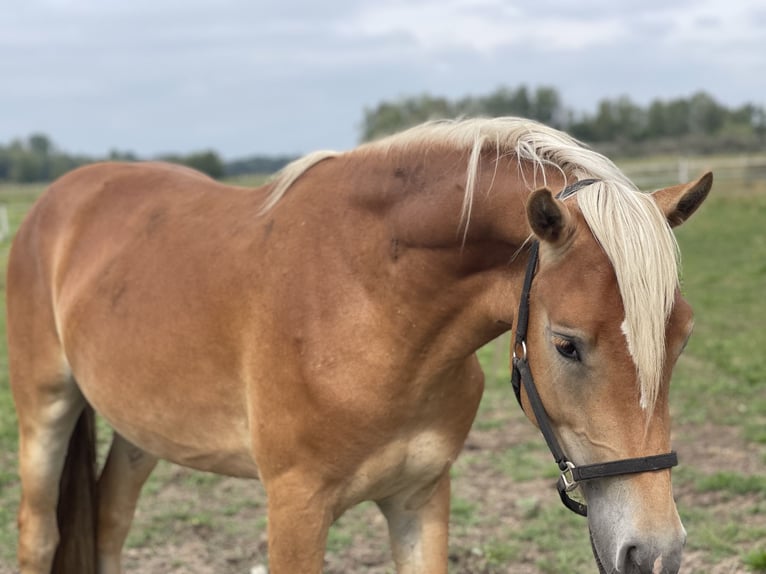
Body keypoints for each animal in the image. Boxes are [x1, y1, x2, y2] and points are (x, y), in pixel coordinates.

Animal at [7, 118, 712, 574]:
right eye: (566, 345)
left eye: (680, 339)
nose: (655, 553)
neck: (370, 303)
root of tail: (56, 202)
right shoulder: (295, 510)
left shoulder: (420, 497)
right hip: (45, 415)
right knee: (39, 534)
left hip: (143, 430)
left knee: (109, 519)